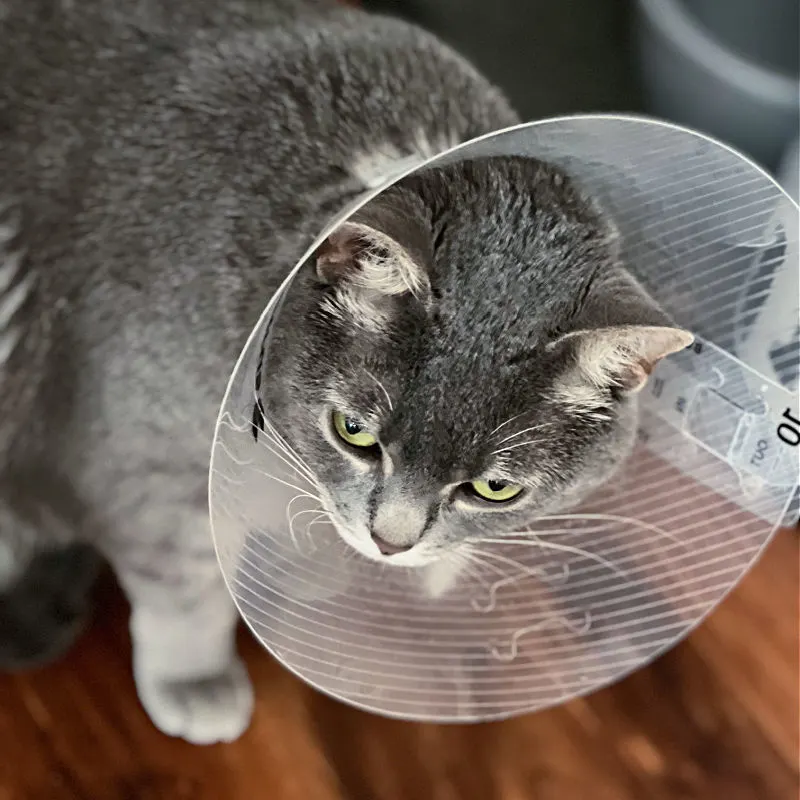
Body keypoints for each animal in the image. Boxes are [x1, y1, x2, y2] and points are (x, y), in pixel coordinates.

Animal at [0, 0, 692, 744]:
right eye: (353, 430)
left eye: (496, 488)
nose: (389, 543)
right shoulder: (146, 461)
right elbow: (186, 583)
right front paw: (196, 681)